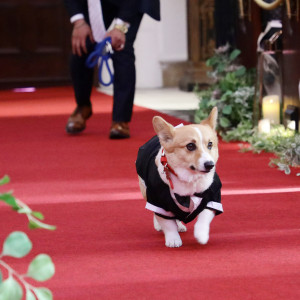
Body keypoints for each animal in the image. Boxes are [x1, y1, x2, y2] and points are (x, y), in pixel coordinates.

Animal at [136, 106, 223, 247]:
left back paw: (180, 226)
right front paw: (173, 239)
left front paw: (201, 235)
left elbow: (204, 216)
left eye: (210, 144)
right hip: (146, 191)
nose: (210, 165)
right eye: (190, 146)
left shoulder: (212, 197)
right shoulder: (158, 200)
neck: (190, 179)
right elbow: (167, 223)